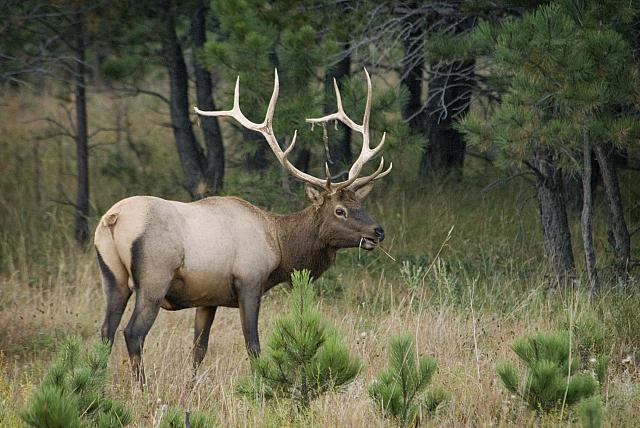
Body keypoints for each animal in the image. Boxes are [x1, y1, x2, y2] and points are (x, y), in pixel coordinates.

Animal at [94, 68, 391, 383]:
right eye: (340, 210)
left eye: (360, 204)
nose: (378, 231)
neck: (279, 246)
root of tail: (113, 219)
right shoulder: (250, 280)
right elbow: (253, 345)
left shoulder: (208, 297)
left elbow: (199, 348)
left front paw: (191, 386)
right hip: (154, 277)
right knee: (132, 333)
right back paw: (143, 387)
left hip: (112, 278)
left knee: (105, 332)